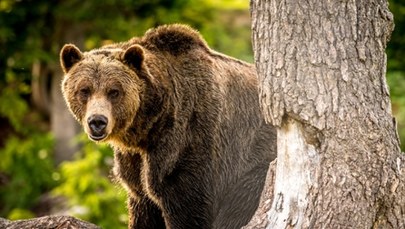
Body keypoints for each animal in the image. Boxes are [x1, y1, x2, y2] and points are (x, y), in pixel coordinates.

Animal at [60, 24, 276, 228]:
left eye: (114, 91)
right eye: (84, 90)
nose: (97, 121)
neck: (149, 126)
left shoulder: (187, 139)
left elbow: (186, 204)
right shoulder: (134, 162)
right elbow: (143, 205)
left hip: (256, 165)